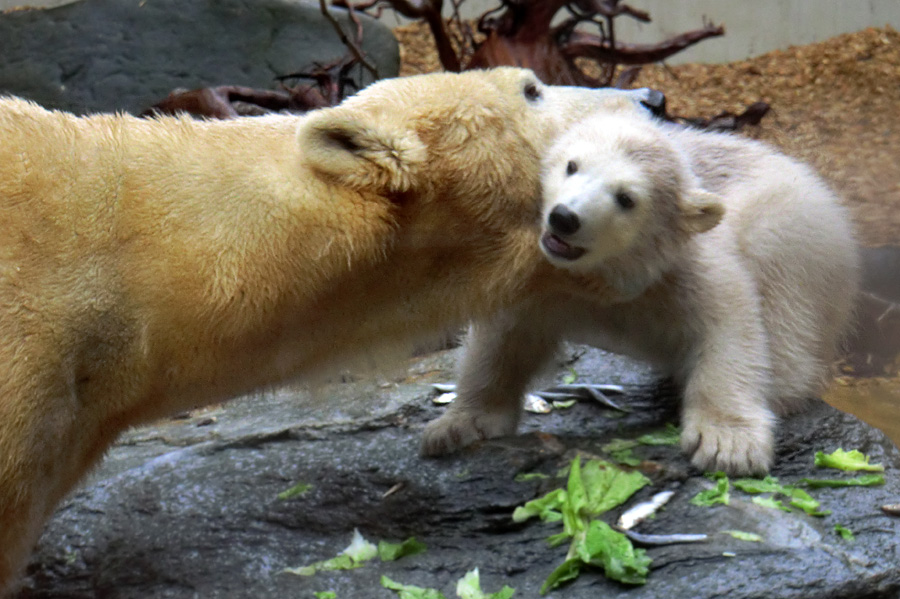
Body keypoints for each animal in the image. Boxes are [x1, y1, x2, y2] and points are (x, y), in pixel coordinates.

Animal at [422, 105, 856, 476]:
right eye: (571, 165)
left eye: (626, 199)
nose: (564, 218)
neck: (604, 276)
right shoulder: (541, 279)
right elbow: (503, 341)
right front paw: (458, 425)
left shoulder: (686, 272)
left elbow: (730, 329)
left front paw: (728, 444)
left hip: (794, 238)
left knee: (787, 341)